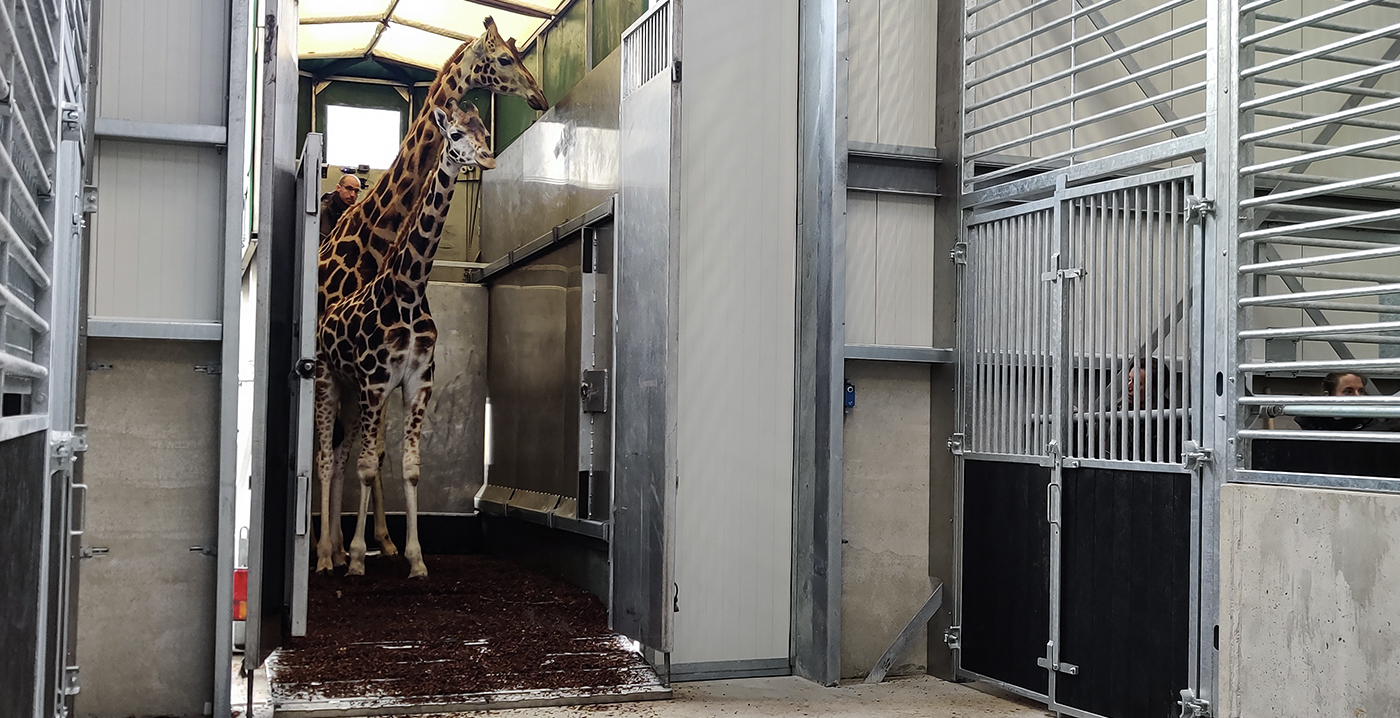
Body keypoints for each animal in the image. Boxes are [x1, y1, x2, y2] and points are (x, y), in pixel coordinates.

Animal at [317, 100, 498, 579]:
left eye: (485, 130)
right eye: (455, 134)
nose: (487, 158)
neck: (409, 289)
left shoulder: (418, 381)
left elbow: (410, 467)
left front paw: (415, 559)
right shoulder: (377, 380)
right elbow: (367, 466)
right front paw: (358, 559)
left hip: (348, 390)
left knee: (339, 458)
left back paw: (333, 549)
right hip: (326, 381)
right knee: (324, 458)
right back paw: (325, 555)